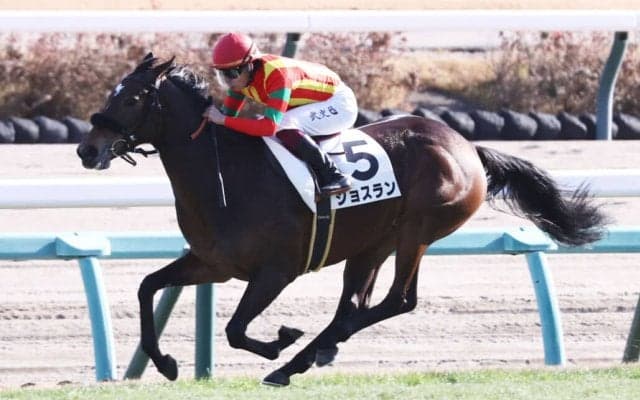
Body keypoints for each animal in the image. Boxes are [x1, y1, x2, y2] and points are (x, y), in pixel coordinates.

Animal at [76, 53, 607, 386]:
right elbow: (147, 286)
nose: (87, 150)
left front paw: (279, 341)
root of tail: (467, 146)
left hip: (417, 231)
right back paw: (308, 357)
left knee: (397, 301)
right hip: (373, 243)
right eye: (112, 92)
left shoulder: (276, 271)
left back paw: (295, 359)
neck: (226, 173)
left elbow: (236, 330)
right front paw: (165, 363)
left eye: (133, 98)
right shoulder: (213, 263)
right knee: (354, 305)